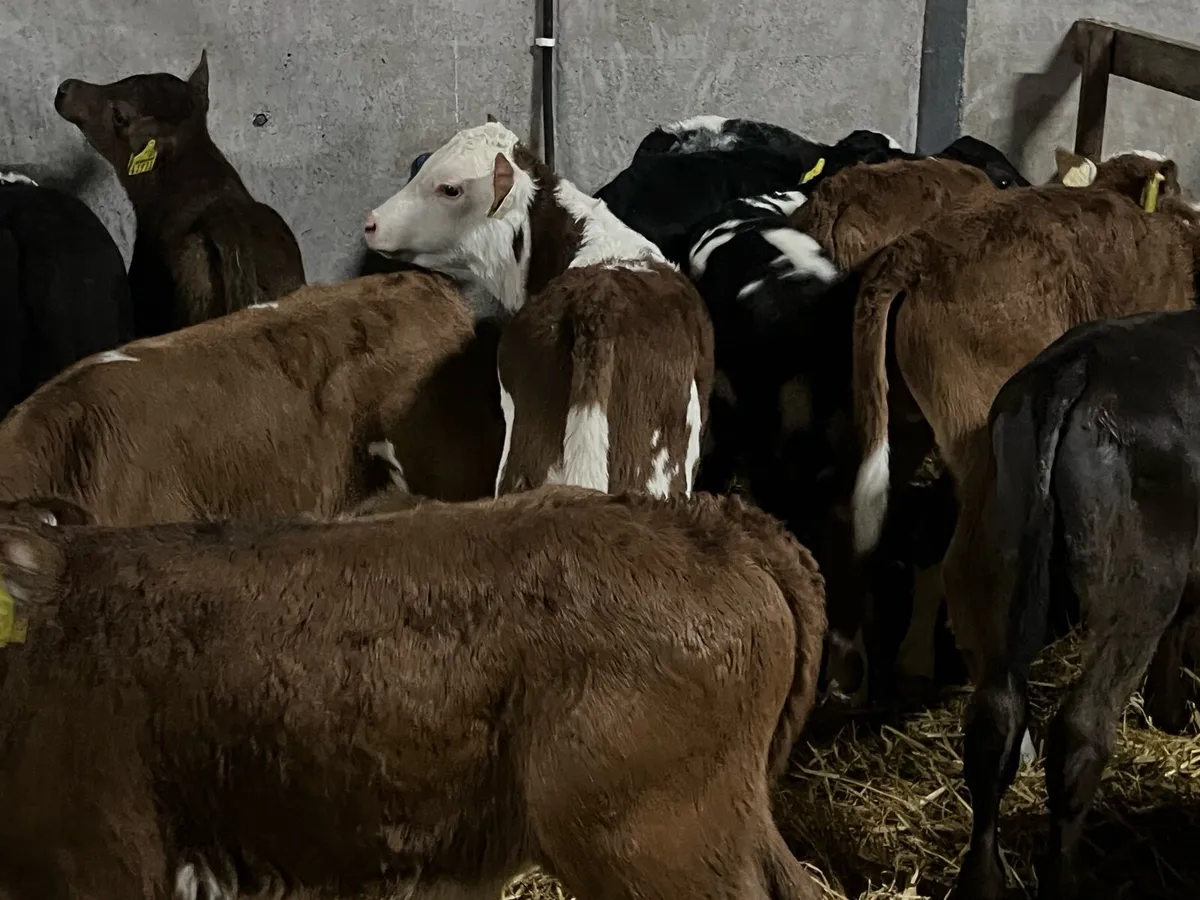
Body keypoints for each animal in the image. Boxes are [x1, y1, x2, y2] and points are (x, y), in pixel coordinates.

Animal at [952, 305, 1200, 900]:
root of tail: (1078, 365)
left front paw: (1172, 712)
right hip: (1141, 582)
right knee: (1082, 728)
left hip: (1002, 560)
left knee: (994, 720)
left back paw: (982, 881)